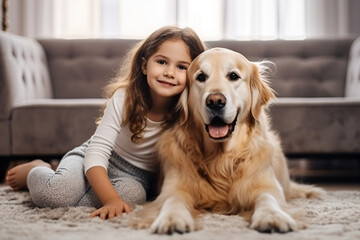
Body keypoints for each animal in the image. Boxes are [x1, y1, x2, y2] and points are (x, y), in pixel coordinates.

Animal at [134, 47, 324, 234]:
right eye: (201, 77)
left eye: (233, 76)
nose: (215, 101)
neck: (221, 160)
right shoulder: (173, 188)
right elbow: (171, 200)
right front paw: (171, 219)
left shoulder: (266, 185)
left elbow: (268, 198)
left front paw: (273, 216)